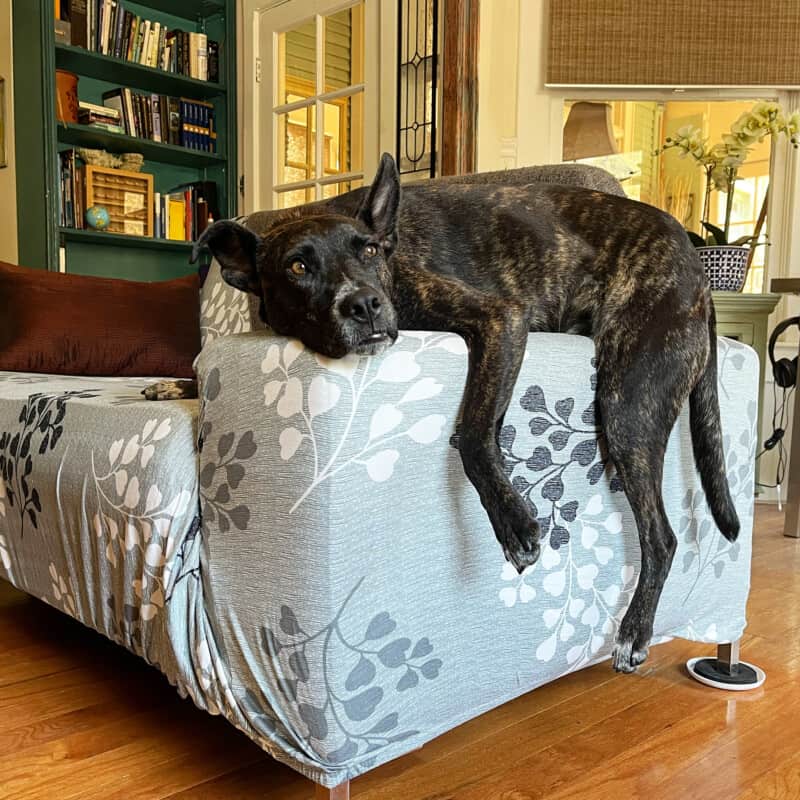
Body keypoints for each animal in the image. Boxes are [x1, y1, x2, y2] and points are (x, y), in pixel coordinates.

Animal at [147, 153, 740, 672]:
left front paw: (512, 520)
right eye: (297, 266)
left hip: (625, 404)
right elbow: (198, 365)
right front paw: (174, 384)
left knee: (661, 537)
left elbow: (473, 434)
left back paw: (634, 632)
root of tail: (696, 267)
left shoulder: (500, 319)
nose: (365, 305)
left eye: (370, 252)